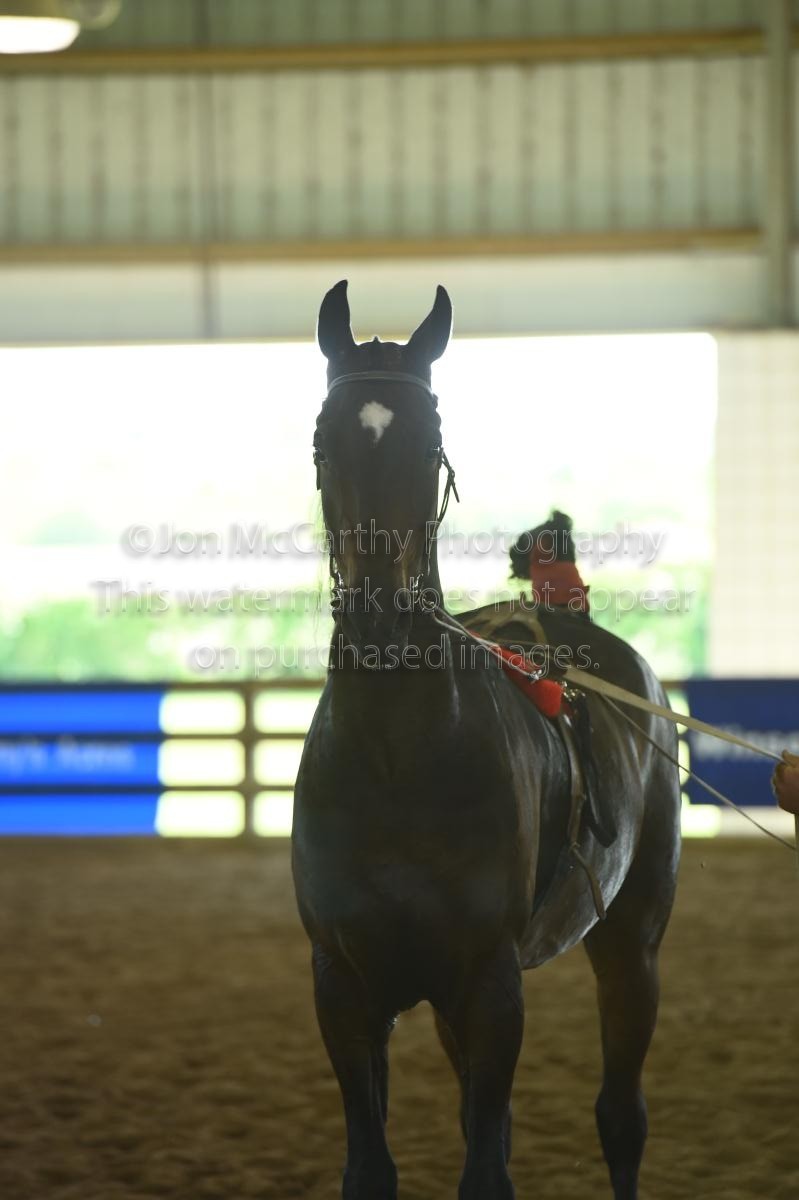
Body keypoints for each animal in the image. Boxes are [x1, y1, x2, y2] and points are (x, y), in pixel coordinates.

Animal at [291, 280, 681, 1200]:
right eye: (323, 439)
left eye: (430, 441)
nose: (379, 616)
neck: (396, 762)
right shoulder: (345, 988)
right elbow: (373, 1167)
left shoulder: (490, 985)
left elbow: (488, 1170)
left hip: (632, 941)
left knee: (621, 1116)